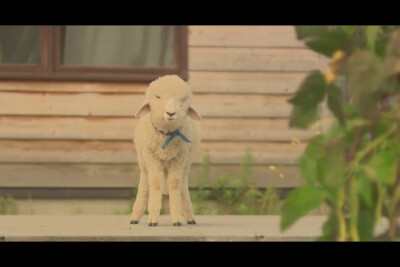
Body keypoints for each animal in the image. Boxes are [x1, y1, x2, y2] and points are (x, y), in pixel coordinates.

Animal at [130, 74, 202, 227]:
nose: (170, 113)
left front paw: (177, 218)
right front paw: (152, 218)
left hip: (186, 161)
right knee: (144, 185)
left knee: (182, 184)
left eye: (182, 100)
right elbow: (155, 183)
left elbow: (174, 184)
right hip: (143, 162)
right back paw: (135, 217)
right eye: (158, 97)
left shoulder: (179, 159)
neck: (166, 134)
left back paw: (189, 216)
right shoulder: (151, 158)